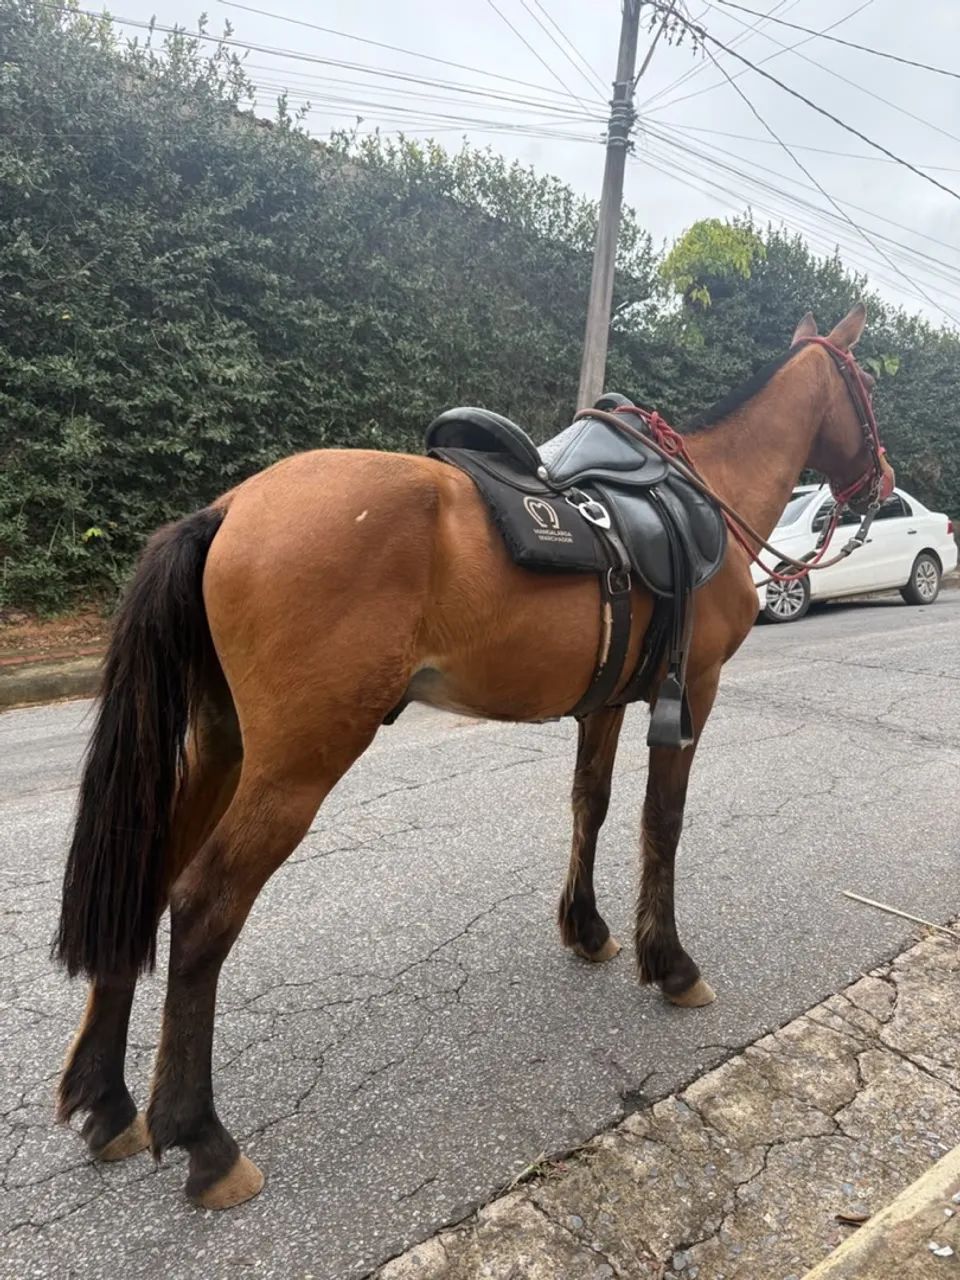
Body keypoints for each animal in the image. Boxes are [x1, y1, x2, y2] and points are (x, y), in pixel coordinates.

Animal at [53, 303, 893, 1210]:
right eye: (867, 385)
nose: (882, 482)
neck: (705, 490)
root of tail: (230, 509)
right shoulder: (693, 692)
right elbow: (661, 823)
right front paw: (669, 963)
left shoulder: (603, 704)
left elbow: (590, 804)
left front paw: (587, 929)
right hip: (294, 765)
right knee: (205, 904)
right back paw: (203, 1140)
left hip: (222, 747)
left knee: (143, 880)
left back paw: (107, 1101)